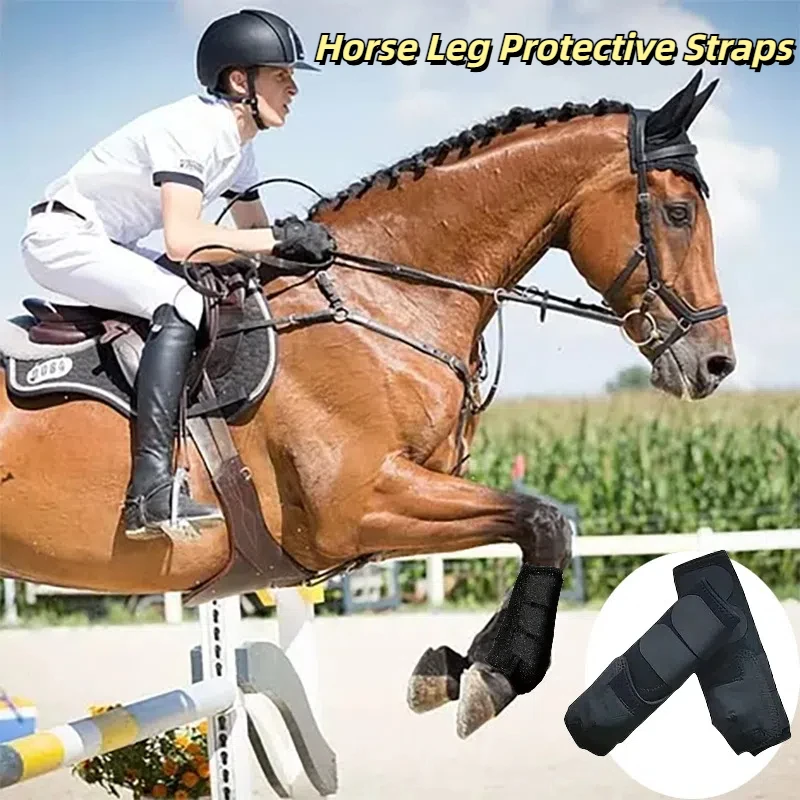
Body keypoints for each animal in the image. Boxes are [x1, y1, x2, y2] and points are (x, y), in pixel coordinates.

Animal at [0, 71, 735, 739]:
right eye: (678, 214)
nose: (716, 363)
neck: (385, 295)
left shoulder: (408, 497)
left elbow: (534, 525)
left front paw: (461, 666)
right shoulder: (358, 504)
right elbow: (544, 522)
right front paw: (496, 676)